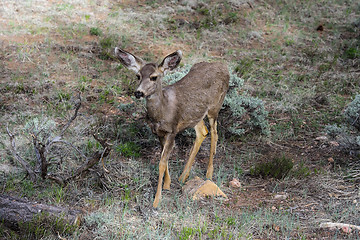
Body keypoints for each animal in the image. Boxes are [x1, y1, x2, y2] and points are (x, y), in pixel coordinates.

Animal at [114, 47, 229, 208]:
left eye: (154, 77)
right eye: (138, 76)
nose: (138, 92)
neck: (162, 112)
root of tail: (223, 66)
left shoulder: (172, 131)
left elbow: (162, 163)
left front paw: (157, 200)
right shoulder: (159, 133)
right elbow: (164, 160)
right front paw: (167, 184)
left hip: (215, 107)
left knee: (214, 133)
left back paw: (209, 174)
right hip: (195, 115)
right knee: (202, 132)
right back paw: (183, 176)